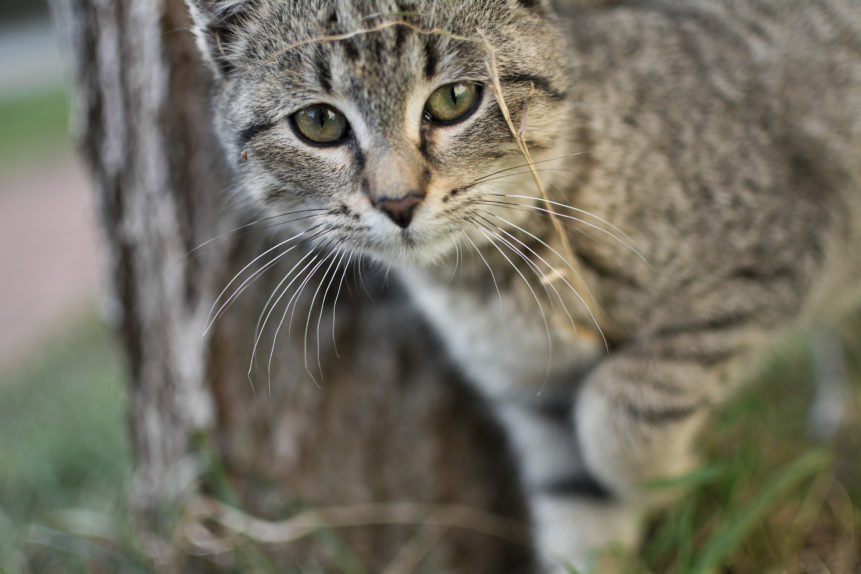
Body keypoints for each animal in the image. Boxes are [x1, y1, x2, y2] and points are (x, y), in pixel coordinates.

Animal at [185, 1, 856, 572]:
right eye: (319, 121)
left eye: (455, 98)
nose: (398, 201)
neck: (486, 282)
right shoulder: (537, 396)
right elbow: (580, 509)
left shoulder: (773, 259)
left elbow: (621, 410)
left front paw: (675, 473)